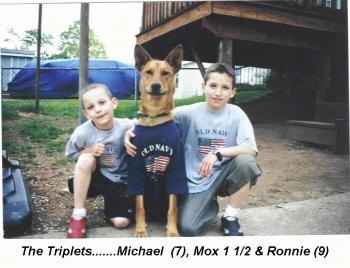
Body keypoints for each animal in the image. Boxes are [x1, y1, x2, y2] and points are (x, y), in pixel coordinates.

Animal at [128, 43, 189, 237]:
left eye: (165, 73)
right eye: (148, 72)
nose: (155, 86)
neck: (155, 117)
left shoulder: (175, 168)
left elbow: (172, 208)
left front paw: (172, 231)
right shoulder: (137, 168)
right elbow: (140, 207)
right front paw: (140, 229)